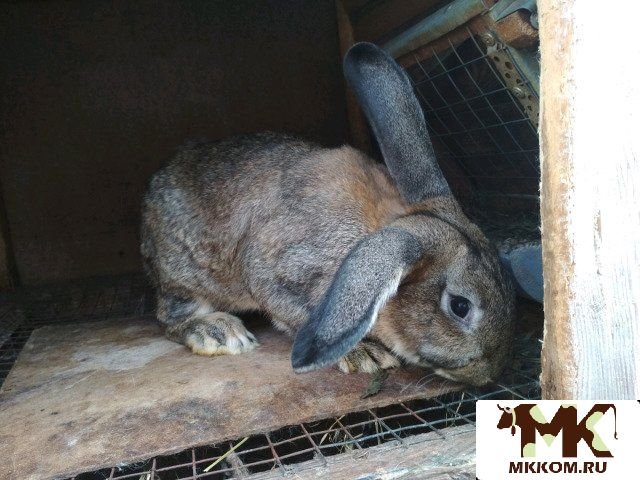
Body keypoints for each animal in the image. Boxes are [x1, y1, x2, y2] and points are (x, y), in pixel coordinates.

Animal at [140, 42, 516, 386]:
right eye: (460, 306)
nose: (486, 375)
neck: (379, 225)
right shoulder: (279, 273)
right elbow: (293, 315)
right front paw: (365, 355)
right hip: (185, 274)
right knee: (170, 317)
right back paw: (217, 332)